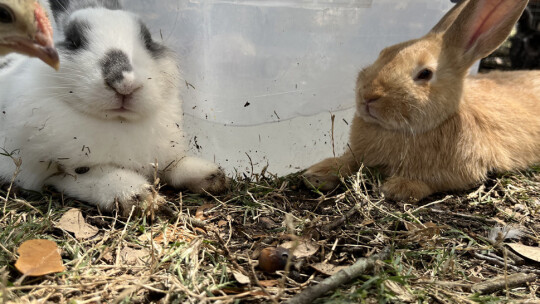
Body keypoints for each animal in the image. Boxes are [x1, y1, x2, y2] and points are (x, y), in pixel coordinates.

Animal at [304, 0, 540, 202]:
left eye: (425, 74)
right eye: (383, 52)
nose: (368, 95)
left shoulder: (460, 171)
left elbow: (432, 181)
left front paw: (398, 188)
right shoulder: (357, 155)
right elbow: (348, 161)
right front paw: (317, 173)